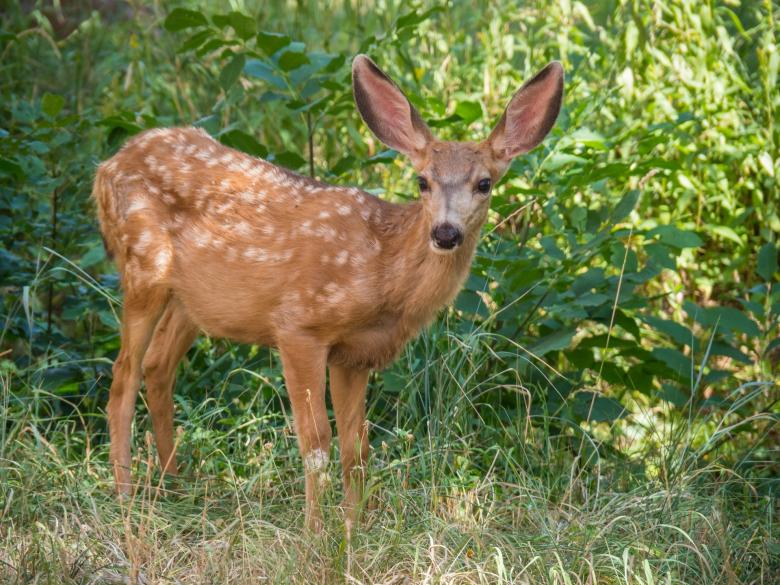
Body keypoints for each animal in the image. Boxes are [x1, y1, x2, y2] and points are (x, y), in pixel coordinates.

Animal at [92, 54, 564, 532]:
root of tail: (106, 166)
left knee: (158, 366)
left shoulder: (355, 355)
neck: (383, 272)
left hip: (193, 301)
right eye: (422, 181)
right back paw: (126, 498)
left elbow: (356, 448)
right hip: (143, 266)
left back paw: (176, 485)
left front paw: (355, 530)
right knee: (123, 376)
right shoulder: (299, 326)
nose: (445, 233)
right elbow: (317, 442)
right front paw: (314, 533)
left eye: (484, 183)